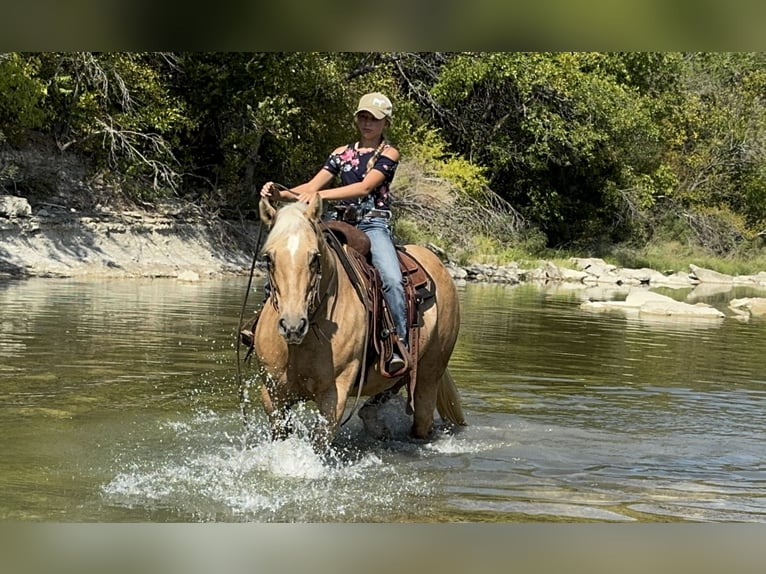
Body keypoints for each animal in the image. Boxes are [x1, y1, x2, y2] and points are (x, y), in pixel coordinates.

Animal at [249, 194, 465, 451]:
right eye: (268, 258)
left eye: (314, 258)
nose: (293, 326)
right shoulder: (273, 395)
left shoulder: (334, 394)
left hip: (430, 375)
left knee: (422, 420)